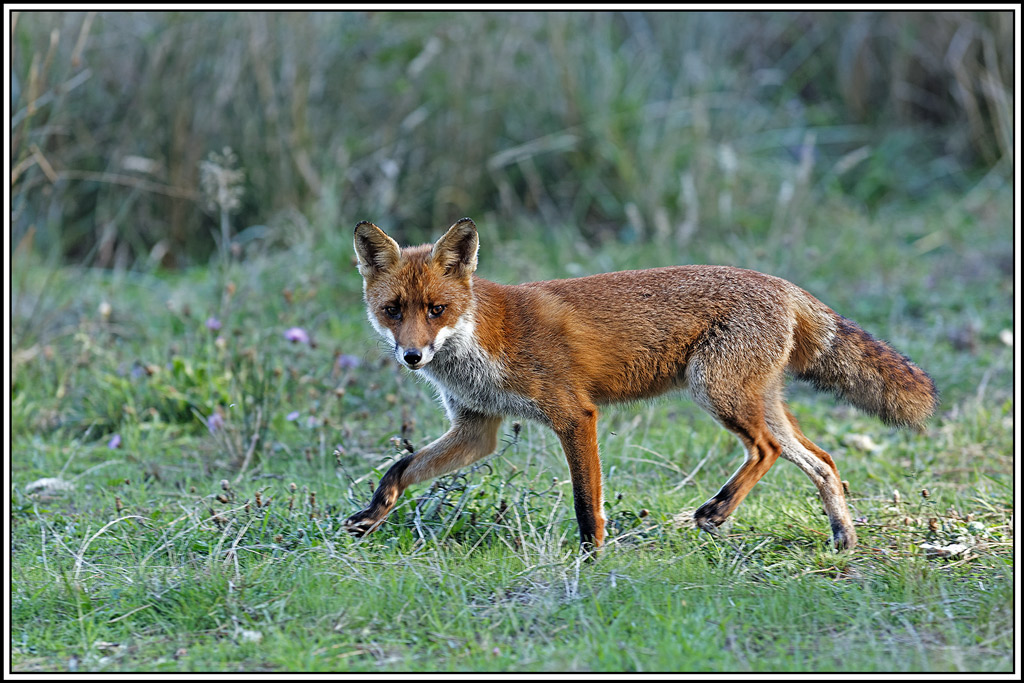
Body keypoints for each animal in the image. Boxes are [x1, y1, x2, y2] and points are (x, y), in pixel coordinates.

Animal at [345, 218, 938, 552]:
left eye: (436, 309)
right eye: (394, 310)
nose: (413, 356)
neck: (481, 341)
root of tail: (783, 284)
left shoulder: (574, 414)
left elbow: (587, 502)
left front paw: (591, 558)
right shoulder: (476, 429)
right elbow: (401, 467)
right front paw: (372, 516)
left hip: (718, 394)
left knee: (766, 451)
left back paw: (717, 511)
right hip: (756, 401)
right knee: (824, 461)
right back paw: (843, 538)